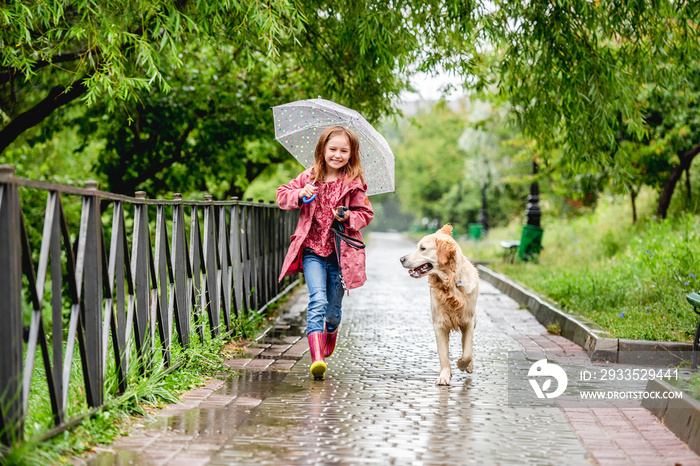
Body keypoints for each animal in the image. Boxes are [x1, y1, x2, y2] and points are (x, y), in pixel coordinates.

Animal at [402, 224, 478, 384]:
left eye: (422, 248)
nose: (401, 259)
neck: (451, 283)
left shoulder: (468, 321)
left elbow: (467, 351)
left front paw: (462, 364)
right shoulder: (439, 323)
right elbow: (444, 355)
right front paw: (444, 376)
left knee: (466, 344)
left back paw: (469, 365)